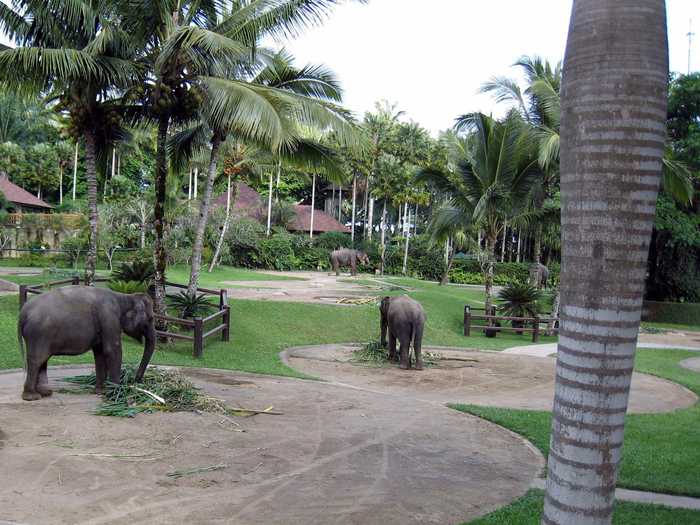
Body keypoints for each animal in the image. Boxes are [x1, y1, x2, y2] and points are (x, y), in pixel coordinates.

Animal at [17, 284, 157, 400]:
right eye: (151, 319)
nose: (136, 381)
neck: (124, 297)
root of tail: (23, 313)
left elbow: (100, 353)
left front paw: (100, 392)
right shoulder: (109, 317)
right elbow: (112, 350)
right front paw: (116, 394)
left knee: (43, 360)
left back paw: (45, 393)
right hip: (38, 335)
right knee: (37, 360)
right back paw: (32, 397)